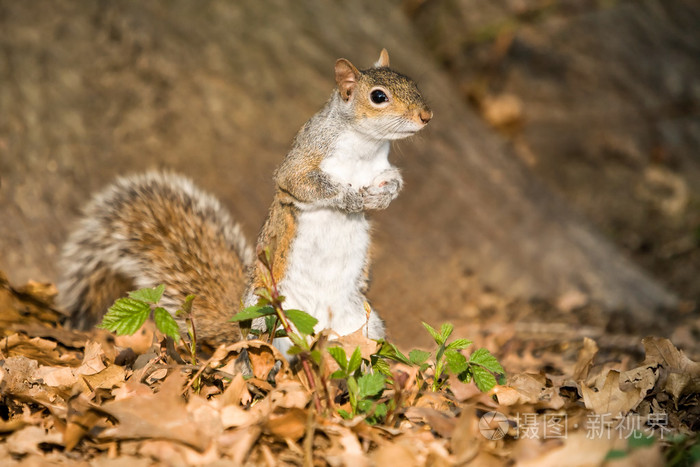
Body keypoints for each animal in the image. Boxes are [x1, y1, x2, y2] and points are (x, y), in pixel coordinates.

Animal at [60, 49, 432, 352]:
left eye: (413, 83)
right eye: (378, 96)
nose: (426, 116)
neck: (364, 145)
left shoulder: (381, 167)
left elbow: (394, 181)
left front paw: (382, 198)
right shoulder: (300, 164)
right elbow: (307, 185)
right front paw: (351, 197)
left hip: (365, 325)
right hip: (267, 316)